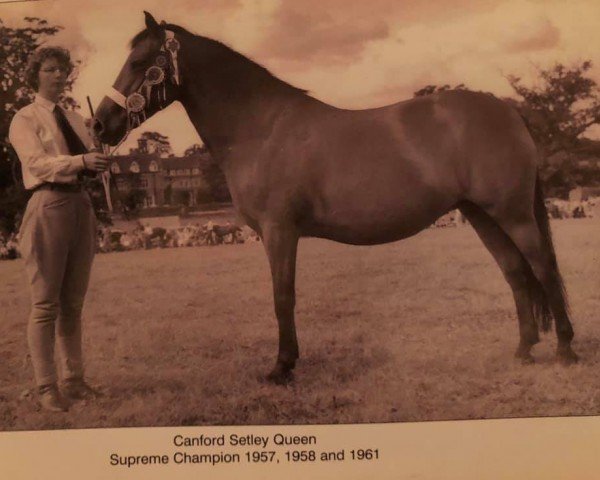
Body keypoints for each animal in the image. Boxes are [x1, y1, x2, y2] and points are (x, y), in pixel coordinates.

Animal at [92, 11, 576, 384]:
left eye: (140, 61)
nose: (100, 124)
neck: (261, 128)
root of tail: (506, 108)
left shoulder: (279, 232)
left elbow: (282, 297)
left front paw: (282, 368)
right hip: (481, 215)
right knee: (515, 273)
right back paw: (523, 350)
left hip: (512, 214)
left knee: (544, 269)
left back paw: (566, 351)